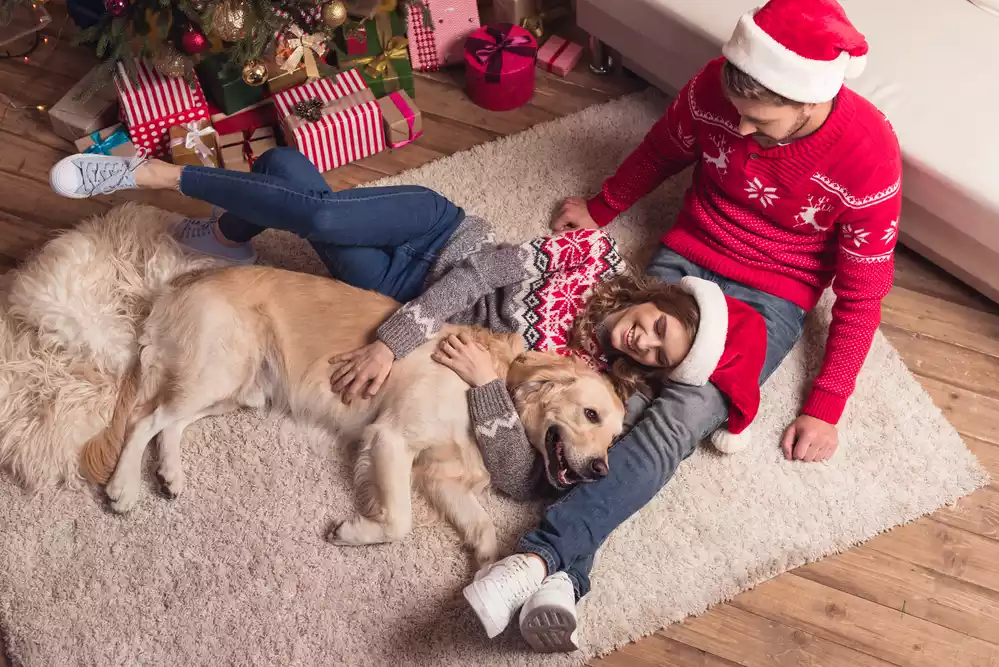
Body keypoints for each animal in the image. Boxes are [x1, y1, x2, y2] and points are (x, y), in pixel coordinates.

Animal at [84, 264, 624, 568]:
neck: (490, 390)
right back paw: (124, 487)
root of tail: (183, 281)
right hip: (220, 369)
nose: (602, 471)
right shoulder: (390, 439)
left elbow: (485, 530)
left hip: (236, 388)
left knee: (170, 420)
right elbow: (400, 521)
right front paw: (353, 532)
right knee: (144, 418)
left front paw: (486, 572)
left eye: (615, 438)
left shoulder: (442, 478)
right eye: (590, 414)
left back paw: (170, 471)